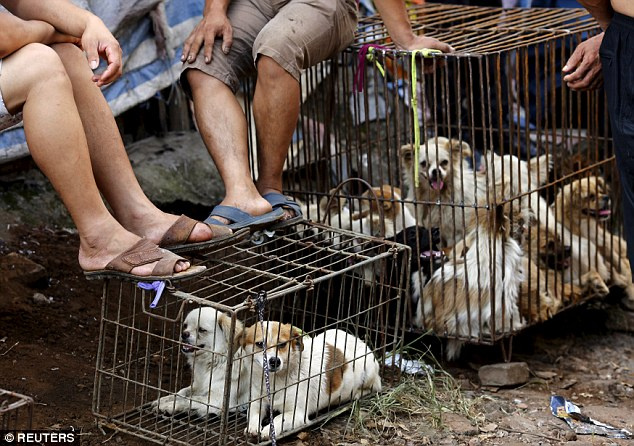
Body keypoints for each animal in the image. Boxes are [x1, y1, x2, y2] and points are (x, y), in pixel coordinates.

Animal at [241, 320, 380, 440]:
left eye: (282, 344)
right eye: (260, 344)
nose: (274, 361)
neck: (276, 380)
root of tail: (359, 341)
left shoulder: (298, 414)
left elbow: (279, 418)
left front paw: (268, 430)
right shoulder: (257, 400)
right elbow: (253, 413)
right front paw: (252, 427)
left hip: (368, 371)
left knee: (374, 387)